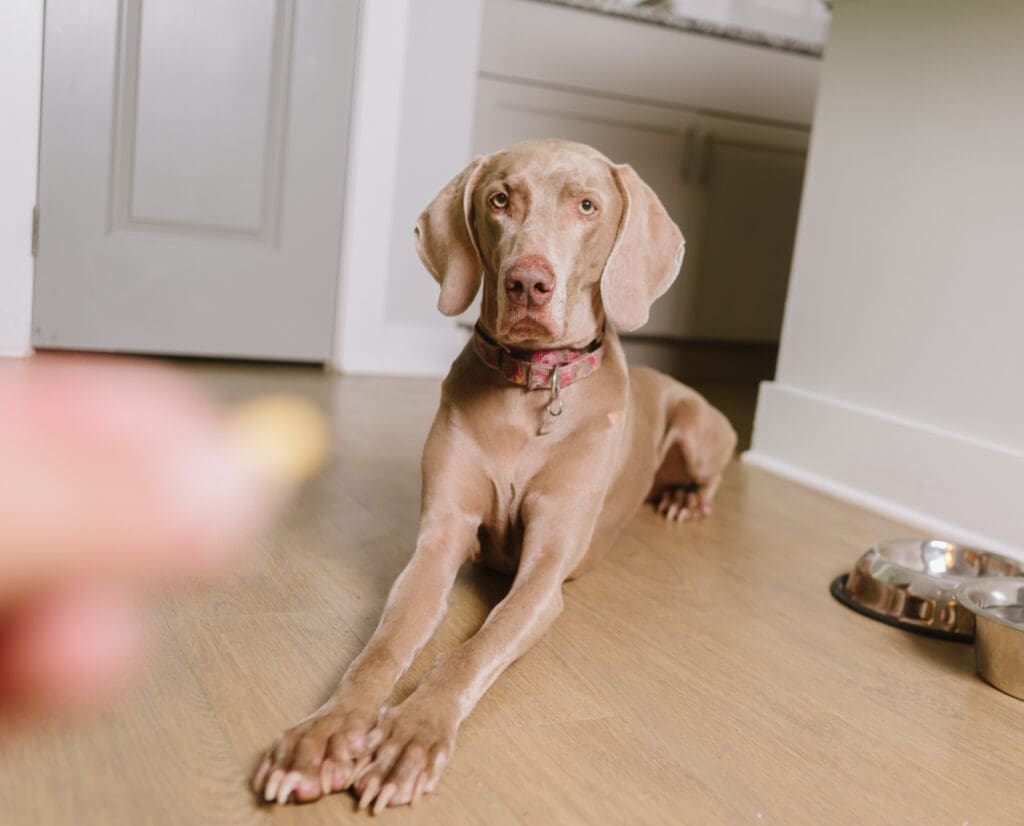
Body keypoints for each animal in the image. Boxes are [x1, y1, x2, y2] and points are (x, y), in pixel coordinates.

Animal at [254, 139, 737, 810]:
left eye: (587, 206)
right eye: (501, 199)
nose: (528, 282)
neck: (531, 387)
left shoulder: (545, 574)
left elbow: (475, 647)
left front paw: (410, 734)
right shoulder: (438, 542)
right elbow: (381, 649)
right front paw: (326, 733)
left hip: (698, 428)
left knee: (715, 464)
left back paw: (685, 499)